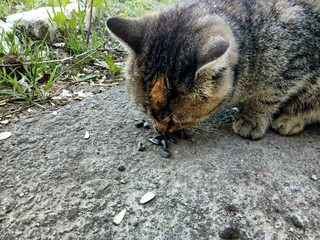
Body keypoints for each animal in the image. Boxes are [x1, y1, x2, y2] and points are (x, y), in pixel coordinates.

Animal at [107, 0, 320, 140]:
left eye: (177, 119)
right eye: (146, 110)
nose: (160, 130)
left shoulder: (299, 60)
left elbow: (269, 94)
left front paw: (252, 117)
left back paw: (291, 119)